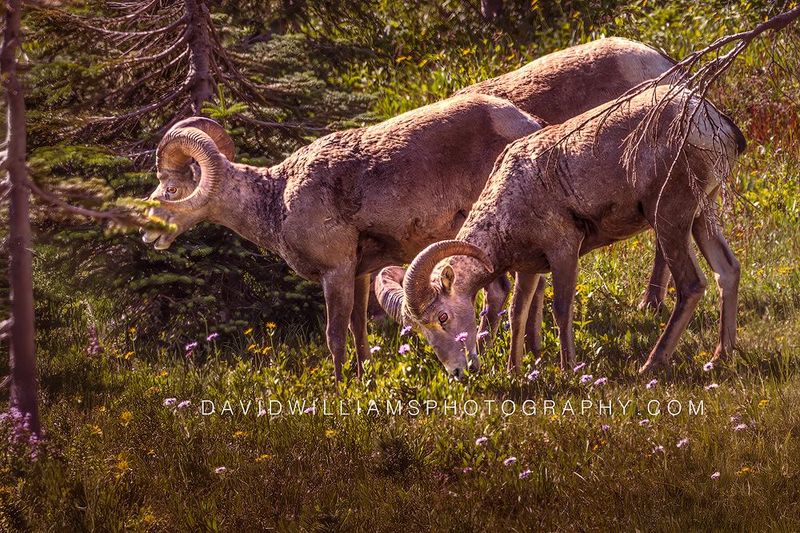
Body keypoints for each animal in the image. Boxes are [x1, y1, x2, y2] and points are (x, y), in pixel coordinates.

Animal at [377, 86, 745, 377]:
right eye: (422, 331)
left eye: (443, 316)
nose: (458, 372)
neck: (511, 194)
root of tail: (713, 122)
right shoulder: (529, 268)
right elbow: (518, 313)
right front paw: (515, 370)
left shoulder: (564, 251)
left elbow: (561, 309)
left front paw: (569, 369)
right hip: (702, 215)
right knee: (727, 271)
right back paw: (720, 356)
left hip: (670, 219)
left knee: (691, 285)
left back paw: (650, 365)